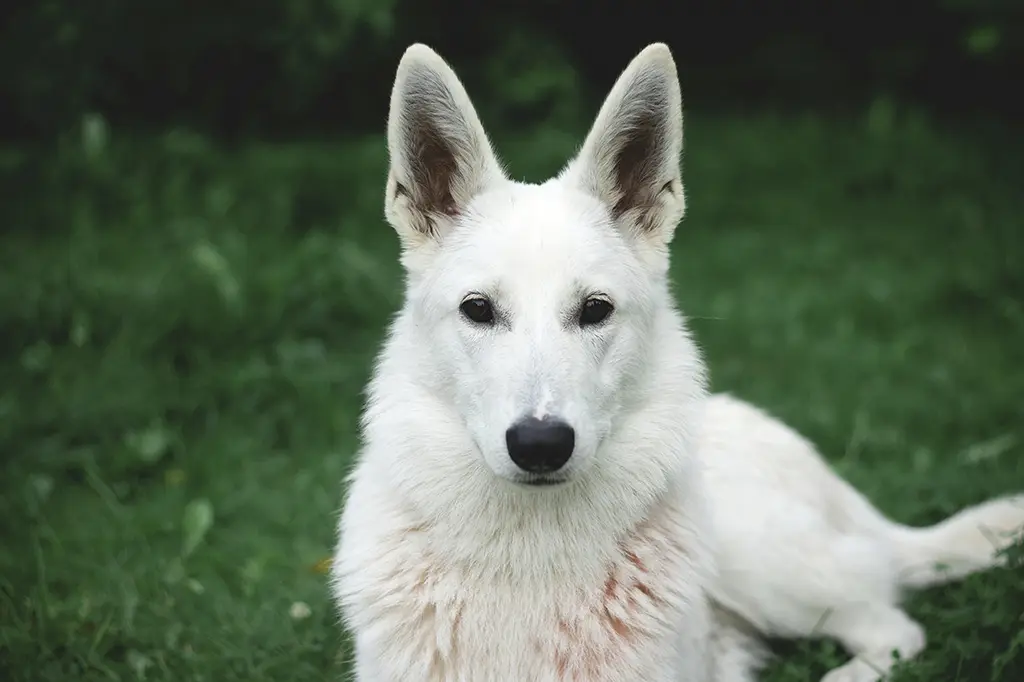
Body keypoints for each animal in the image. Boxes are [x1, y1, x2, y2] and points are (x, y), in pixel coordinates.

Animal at [329, 43, 1024, 679]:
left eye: (595, 310)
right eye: (478, 309)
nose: (541, 444)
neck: (531, 553)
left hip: (760, 559)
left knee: (893, 628)